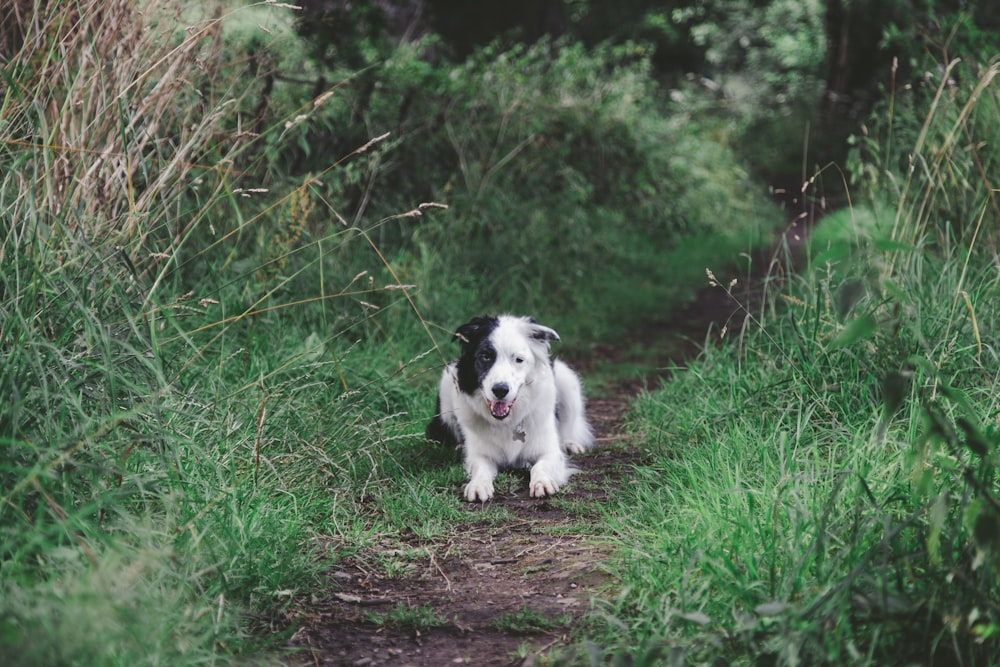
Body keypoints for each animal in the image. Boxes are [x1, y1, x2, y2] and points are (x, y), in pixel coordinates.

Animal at [424, 318, 592, 500]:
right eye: (485, 356)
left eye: (518, 359)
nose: (500, 390)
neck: (507, 421)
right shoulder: (479, 455)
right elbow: (480, 468)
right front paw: (478, 485)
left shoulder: (550, 452)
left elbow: (540, 466)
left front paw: (542, 482)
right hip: (446, 382)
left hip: (567, 379)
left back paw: (570, 443)